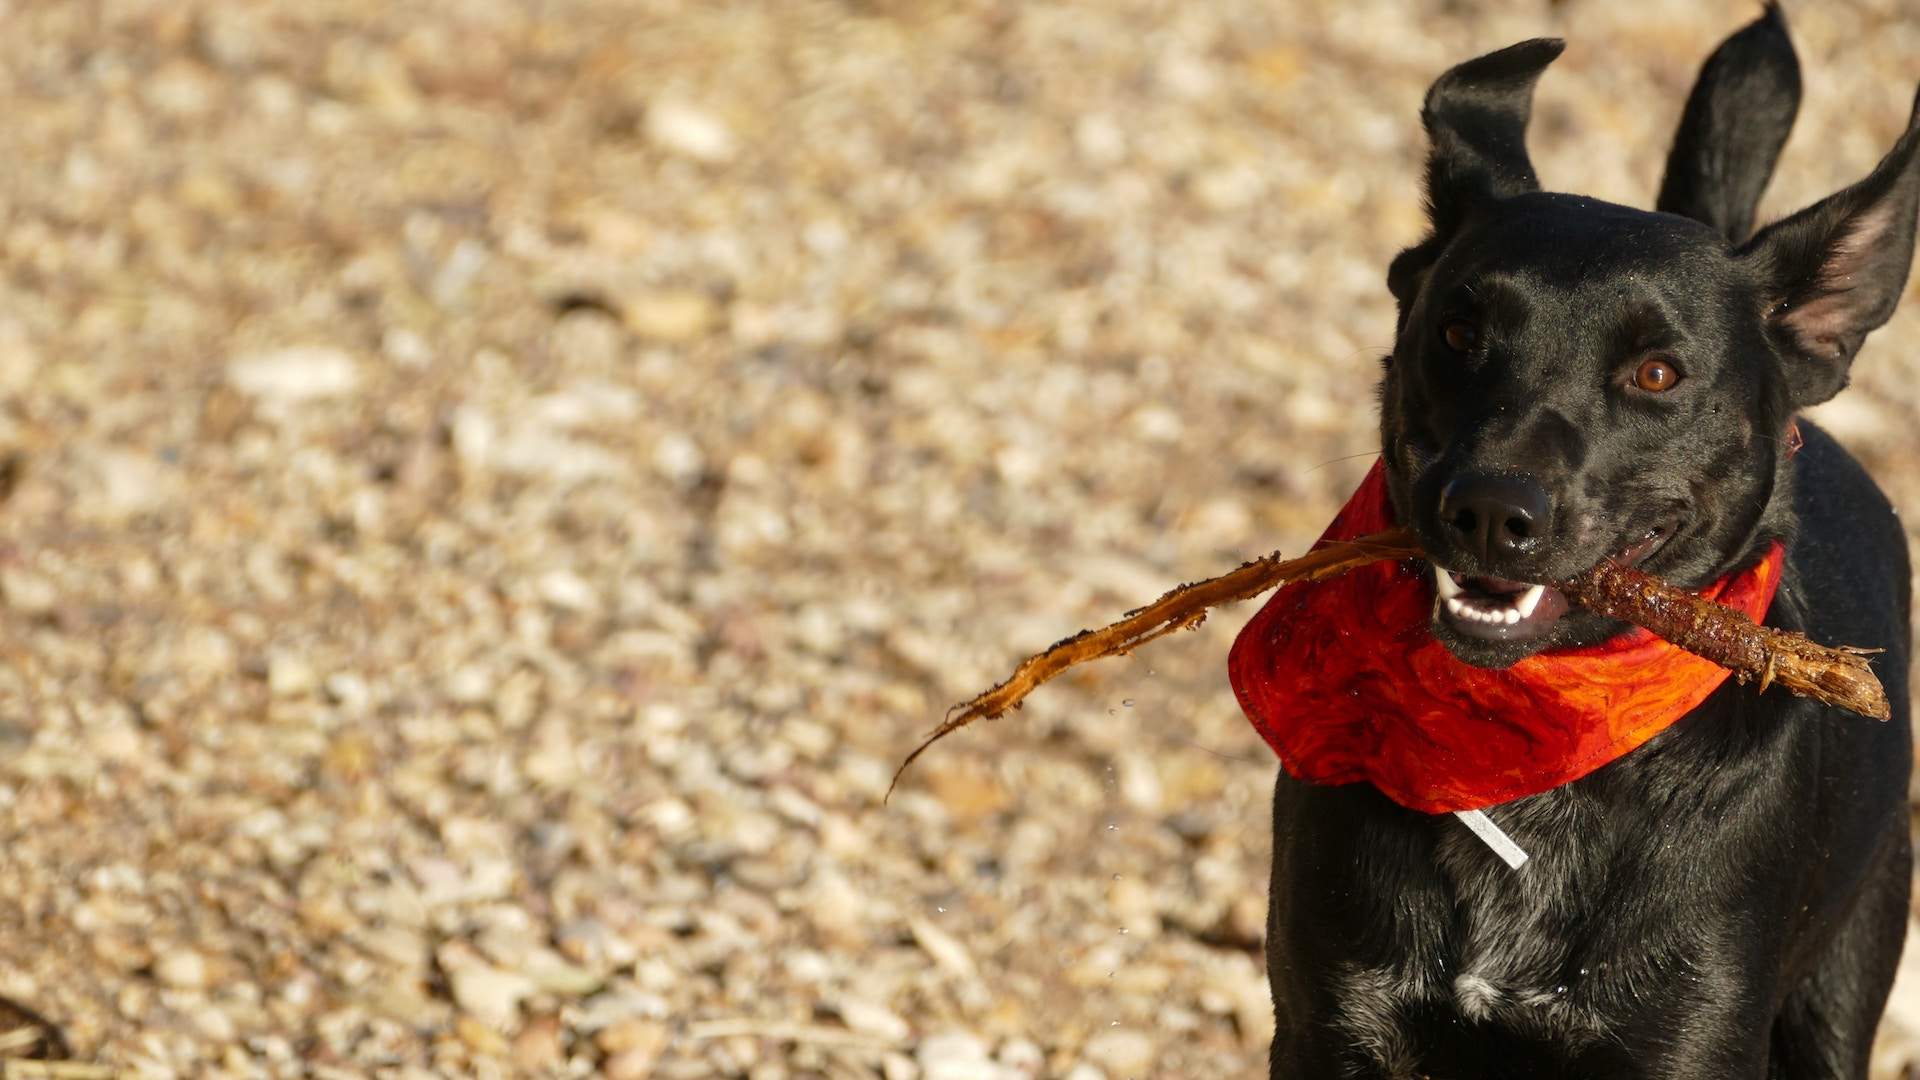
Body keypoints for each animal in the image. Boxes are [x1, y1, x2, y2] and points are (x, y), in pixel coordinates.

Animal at [1267, 10, 1912, 1076]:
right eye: (1458, 332)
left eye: (1657, 374)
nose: (1492, 510)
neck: (1544, 748)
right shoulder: (1336, 1024)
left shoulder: (1688, 1040)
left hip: (1842, 979)